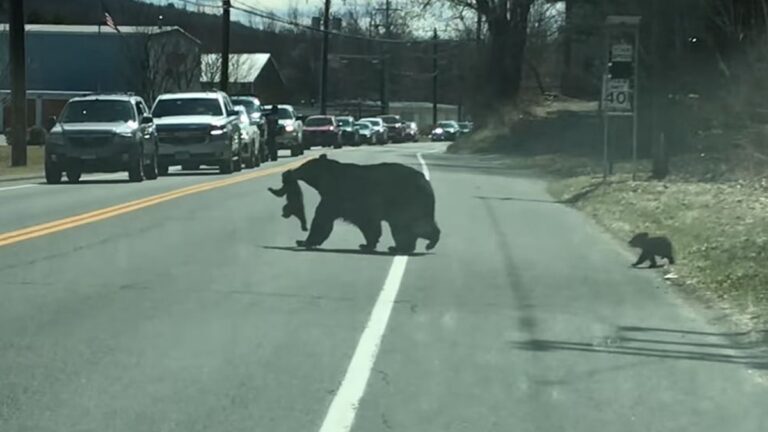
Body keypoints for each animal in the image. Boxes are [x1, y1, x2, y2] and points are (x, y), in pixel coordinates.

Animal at [270, 154, 440, 254]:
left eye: (303, 167)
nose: (288, 172)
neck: (328, 180)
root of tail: (426, 183)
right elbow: (368, 225)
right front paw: (367, 244)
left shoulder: (338, 197)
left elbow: (322, 220)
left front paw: (304, 241)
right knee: (404, 229)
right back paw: (400, 247)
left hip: (407, 202)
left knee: (414, 226)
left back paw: (428, 242)